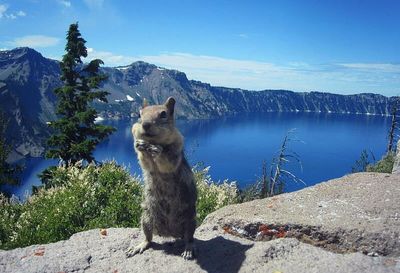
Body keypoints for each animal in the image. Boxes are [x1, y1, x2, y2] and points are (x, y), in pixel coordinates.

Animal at [126, 96, 198, 258]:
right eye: (139, 114)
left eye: (163, 114)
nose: (145, 124)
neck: (153, 142)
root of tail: (170, 233)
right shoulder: (146, 162)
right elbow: (144, 161)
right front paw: (139, 145)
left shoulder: (176, 152)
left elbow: (167, 163)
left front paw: (158, 151)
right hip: (146, 217)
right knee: (149, 238)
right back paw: (139, 246)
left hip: (190, 219)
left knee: (189, 238)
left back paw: (188, 249)